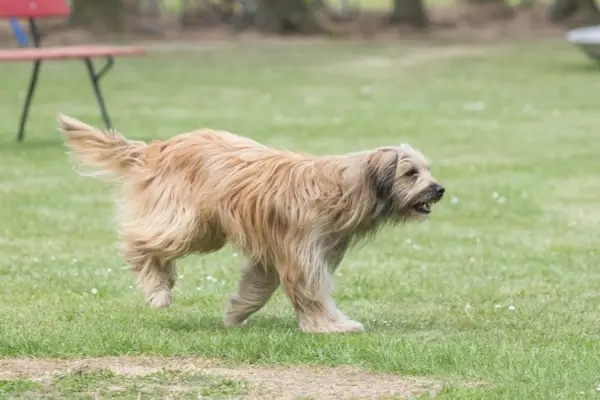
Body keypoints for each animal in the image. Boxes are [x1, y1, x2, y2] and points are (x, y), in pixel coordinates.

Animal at [57, 114, 446, 332]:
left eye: (427, 169)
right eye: (411, 173)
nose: (440, 189)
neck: (348, 187)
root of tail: (159, 147)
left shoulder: (280, 251)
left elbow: (258, 287)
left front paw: (235, 314)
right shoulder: (300, 251)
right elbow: (310, 291)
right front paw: (330, 326)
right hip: (189, 223)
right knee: (138, 242)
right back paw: (158, 290)